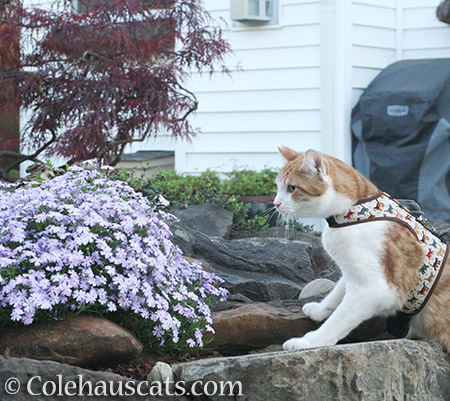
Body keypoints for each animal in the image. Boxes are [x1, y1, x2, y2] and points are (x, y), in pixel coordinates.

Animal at [272, 146, 448, 350]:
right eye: (278, 187)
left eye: (291, 188)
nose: (275, 203)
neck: (355, 211)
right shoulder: (352, 270)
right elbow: (338, 291)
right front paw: (320, 309)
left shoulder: (374, 289)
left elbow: (339, 319)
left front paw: (310, 341)